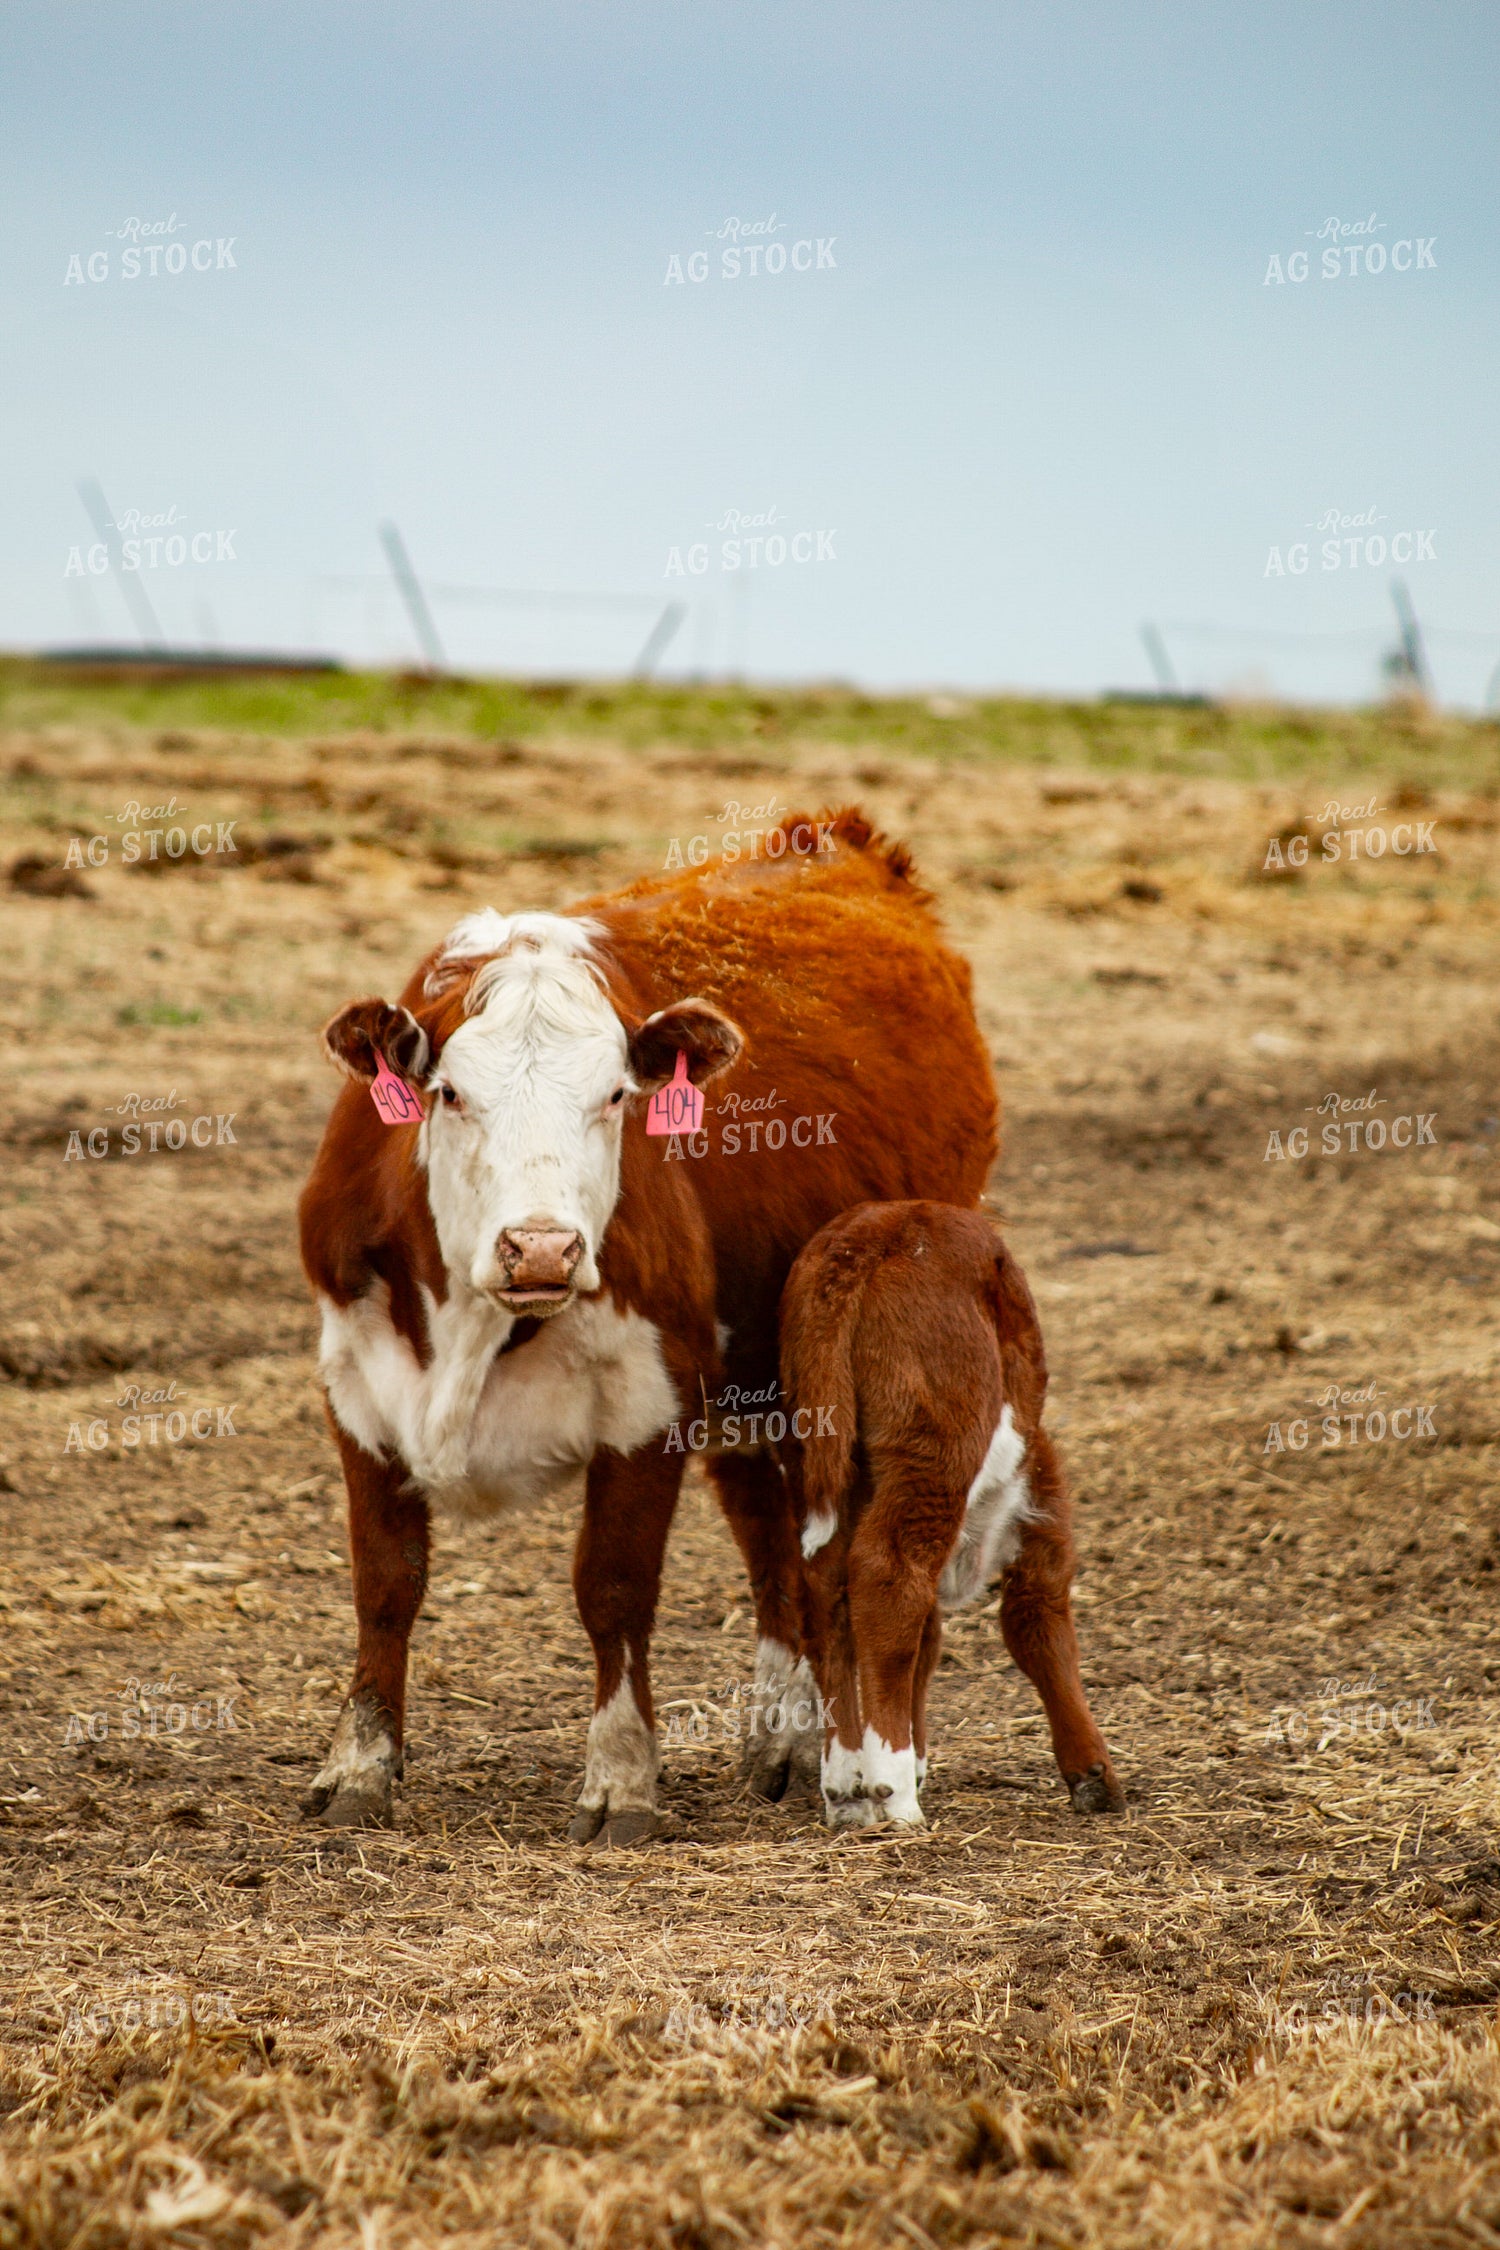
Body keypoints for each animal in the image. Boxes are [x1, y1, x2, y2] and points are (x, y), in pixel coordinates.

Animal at [297, 808, 998, 1840]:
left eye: (616, 1096)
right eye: (451, 1093)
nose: (541, 1248)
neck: (472, 1320)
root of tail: (837, 840)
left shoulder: (648, 1400)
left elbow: (614, 1590)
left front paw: (622, 1778)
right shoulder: (358, 1383)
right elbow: (386, 1584)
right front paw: (357, 1769)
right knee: (771, 1543)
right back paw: (781, 1741)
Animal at [780, 1199, 1123, 1828]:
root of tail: (868, 1239)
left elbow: (926, 1641)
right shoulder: (1042, 1522)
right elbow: (1040, 1627)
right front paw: (1093, 1775)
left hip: (809, 1445)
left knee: (826, 1588)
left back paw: (844, 1782)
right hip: (933, 1448)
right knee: (888, 1576)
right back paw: (893, 1790)